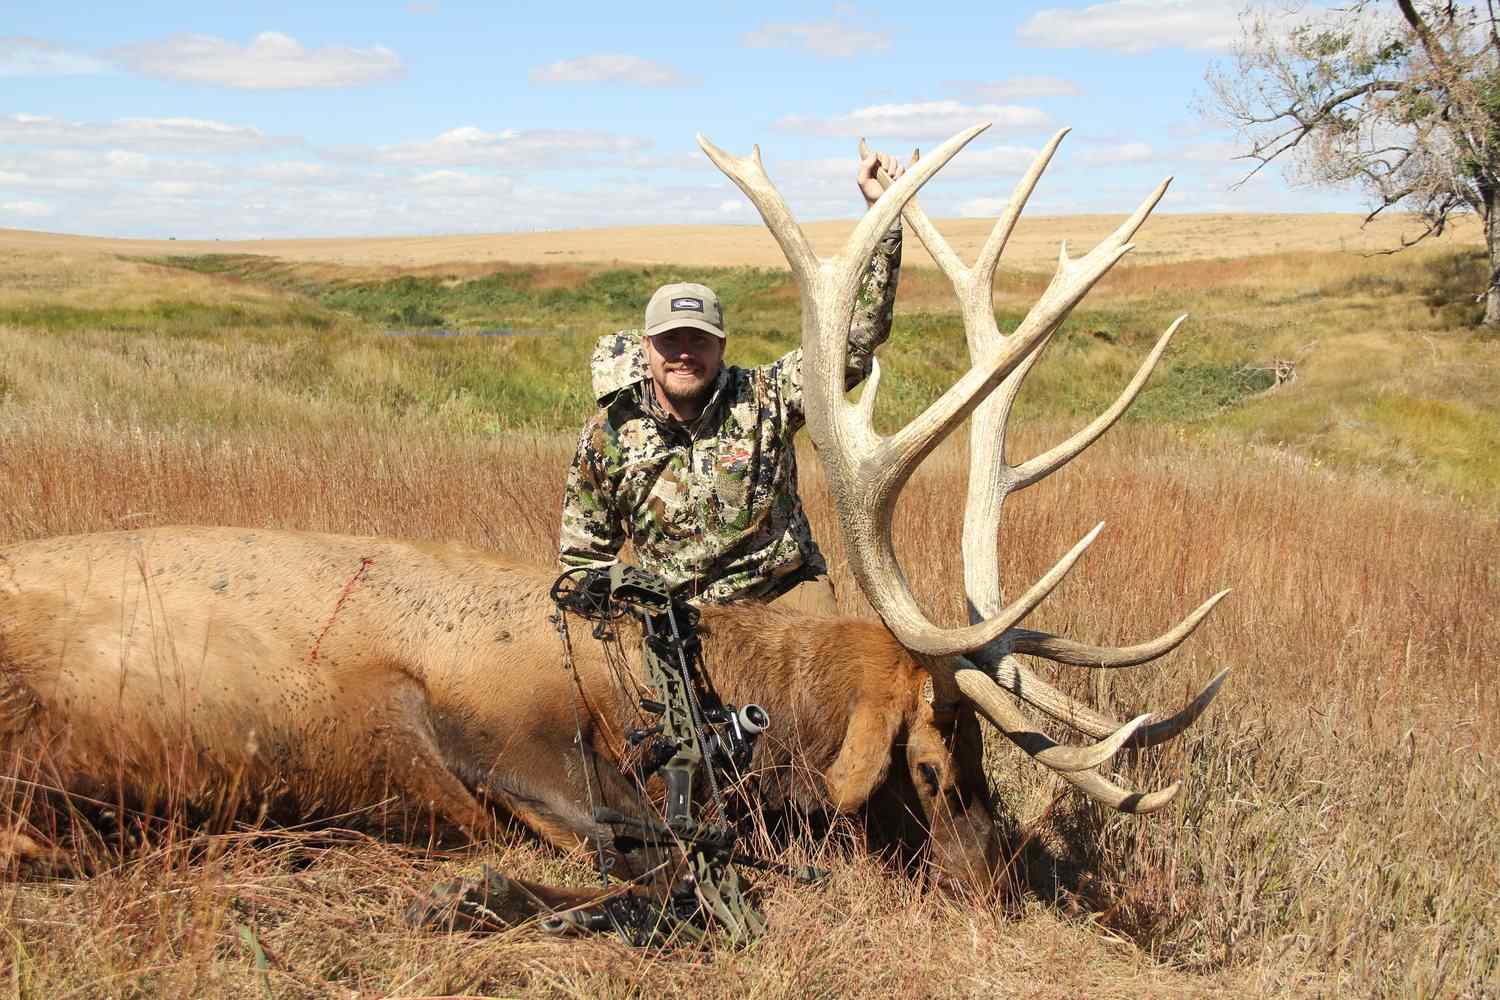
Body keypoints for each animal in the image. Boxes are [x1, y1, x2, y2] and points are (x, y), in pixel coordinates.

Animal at [0, 123, 1227, 925]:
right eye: (928, 766)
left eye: (981, 755)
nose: (1005, 881)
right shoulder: (497, 736)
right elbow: (647, 860)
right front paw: (481, 894)